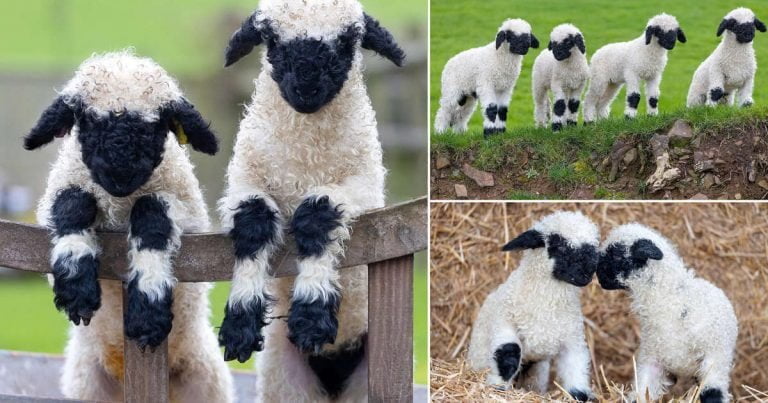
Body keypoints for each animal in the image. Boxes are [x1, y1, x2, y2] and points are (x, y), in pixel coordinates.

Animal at [24, 50, 234, 403]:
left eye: (154, 127)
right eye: (89, 122)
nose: (120, 174)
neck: (119, 205)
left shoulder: (189, 215)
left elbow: (151, 212)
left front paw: (148, 307)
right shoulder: (61, 190)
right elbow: (72, 202)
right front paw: (76, 285)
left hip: (204, 381)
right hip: (87, 385)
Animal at [216, 1, 408, 402]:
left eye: (347, 41)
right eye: (272, 39)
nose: (306, 88)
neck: (305, 159)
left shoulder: (364, 185)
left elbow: (316, 216)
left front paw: (311, 314)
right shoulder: (245, 178)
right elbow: (253, 224)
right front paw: (240, 322)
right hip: (282, 378)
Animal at [468, 210, 600, 402]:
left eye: (593, 249)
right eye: (560, 247)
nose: (587, 274)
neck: (546, 305)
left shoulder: (572, 338)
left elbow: (576, 367)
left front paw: (580, 395)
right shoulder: (504, 320)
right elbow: (509, 352)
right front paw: (497, 387)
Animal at [592, 224, 736, 403]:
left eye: (617, 255)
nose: (596, 273)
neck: (669, 302)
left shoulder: (714, 358)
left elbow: (712, 393)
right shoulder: (652, 358)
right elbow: (642, 392)